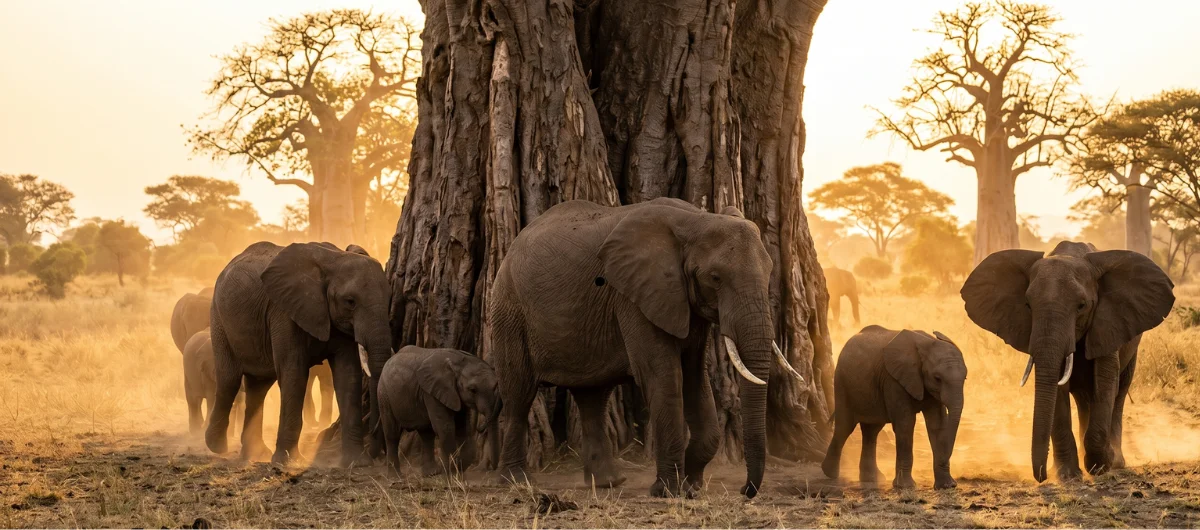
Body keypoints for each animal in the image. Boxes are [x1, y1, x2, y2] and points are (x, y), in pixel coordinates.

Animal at [204, 242, 393, 467]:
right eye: (350, 302)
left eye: (389, 298)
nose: (377, 452)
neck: (334, 259)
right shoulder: (283, 312)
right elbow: (294, 374)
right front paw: (288, 461)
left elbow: (348, 376)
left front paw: (357, 462)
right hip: (219, 319)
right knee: (229, 379)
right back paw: (216, 446)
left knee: (258, 387)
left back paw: (255, 453)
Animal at [377, 346, 502, 476]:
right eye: (473, 390)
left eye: (495, 386)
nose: (480, 427)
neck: (459, 361)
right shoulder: (432, 392)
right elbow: (446, 427)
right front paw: (452, 473)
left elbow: (462, 427)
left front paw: (457, 467)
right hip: (384, 394)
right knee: (392, 434)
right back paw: (396, 476)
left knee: (426, 434)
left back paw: (431, 473)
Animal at [489, 198, 801, 499]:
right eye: (715, 278)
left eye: (770, 271)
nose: (744, 490)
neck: (696, 219)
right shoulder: (634, 296)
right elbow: (663, 375)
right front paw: (669, 491)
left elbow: (695, 377)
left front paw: (691, 485)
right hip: (509, 310)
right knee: (519, 394)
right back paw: (516, 482)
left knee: (593, 397)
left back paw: (608, 483)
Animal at [822, 326, 966, 490]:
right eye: (937, 378)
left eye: (965, 378)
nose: (944, 460)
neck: (927, 343)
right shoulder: (893, 380)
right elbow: (905, 424)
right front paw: (905, 486)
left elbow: (937, 424)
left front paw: (946, 486)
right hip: (842, 382)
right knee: (845, 426)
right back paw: (830, 473)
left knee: (871, 431)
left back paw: (872, 478)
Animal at [961, 241, 1174, 482]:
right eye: (1028, 305)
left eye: (1081, 306)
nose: (1042, 475)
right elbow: (1057, 388)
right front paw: (1067, 474)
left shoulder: (1107, 323)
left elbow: (1105, 381)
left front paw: (1100, 465)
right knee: (1084, 398)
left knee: (1119, 392)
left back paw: (1116, 461)